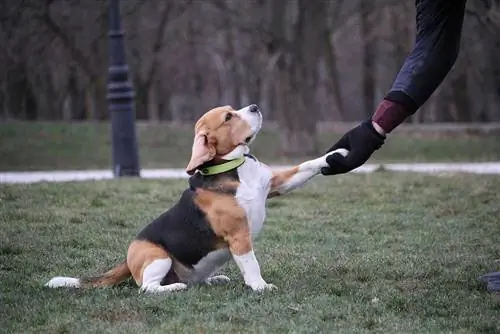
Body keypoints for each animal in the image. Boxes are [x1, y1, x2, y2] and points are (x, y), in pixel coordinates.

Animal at [45, 104, 346, 292]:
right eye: (228, 117)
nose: (255, 107)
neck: (234, 167)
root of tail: (127, 259)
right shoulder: (239, 236)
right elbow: (252, 264)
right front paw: (261, 287)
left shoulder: (275, 184)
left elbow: (306, 166)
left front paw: (335, 155)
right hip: (158, 257)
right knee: (146, 288)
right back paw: (173, 287)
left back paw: (213, 280)